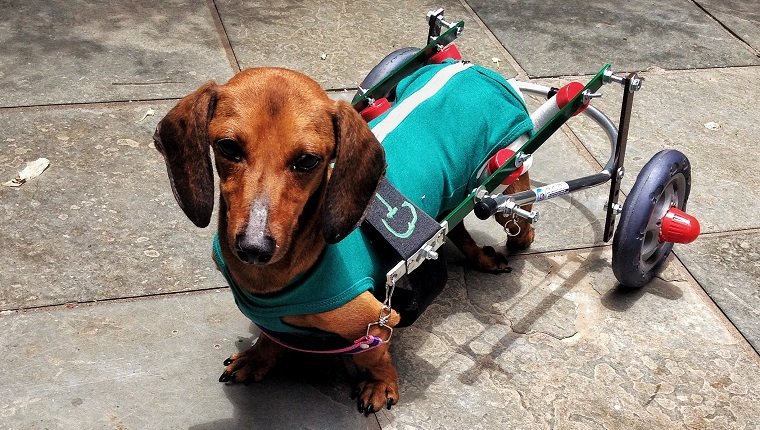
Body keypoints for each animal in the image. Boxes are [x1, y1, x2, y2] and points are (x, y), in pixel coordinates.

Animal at [154, 66, 536, 414]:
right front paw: (258, 357)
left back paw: (521, 236)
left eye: (308, 160)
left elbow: (375, 357)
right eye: (228, 147)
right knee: (452, 225)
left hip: (507, 163)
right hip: (456, 195)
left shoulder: (377, 321)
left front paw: (380, 384)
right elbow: (269, 336)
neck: (273, 283)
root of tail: (474, 69)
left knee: (516, 205)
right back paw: (481, 257)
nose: (253, 248)